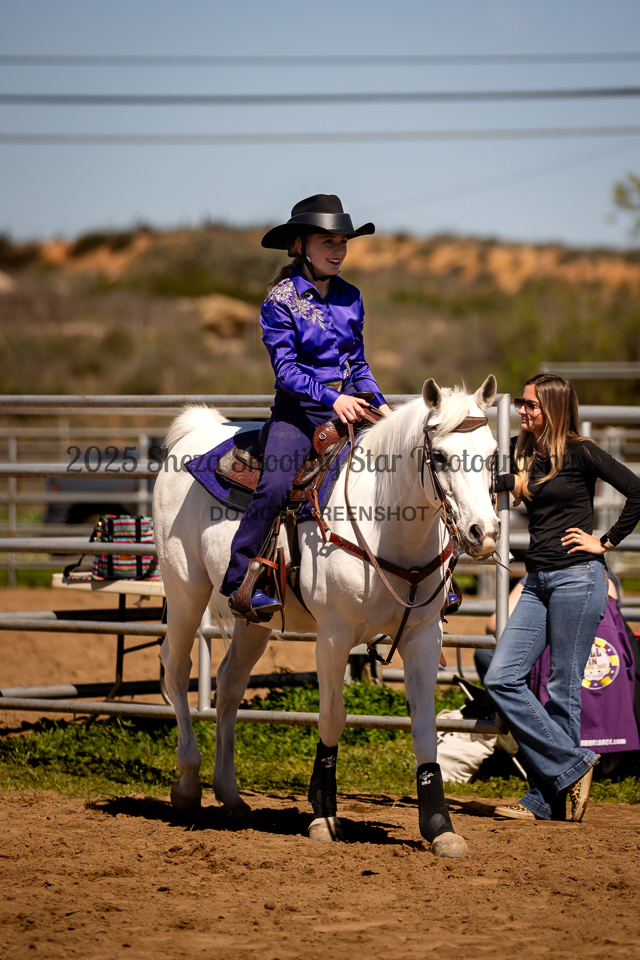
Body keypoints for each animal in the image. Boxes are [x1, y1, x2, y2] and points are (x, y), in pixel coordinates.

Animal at [153, 375, 499, 858]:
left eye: (493, 453)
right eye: (441, 456)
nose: (483, 534)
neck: (388, 525)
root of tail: (195, 435)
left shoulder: (424, 637)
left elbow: (425, 726)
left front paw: (439, 827)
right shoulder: (334, 636)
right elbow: (333, 718)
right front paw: (323, 813)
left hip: (252, 620)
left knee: (229, 687)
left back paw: (231, 797)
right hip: (185, 589)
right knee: (177, 668)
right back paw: (187, 786)